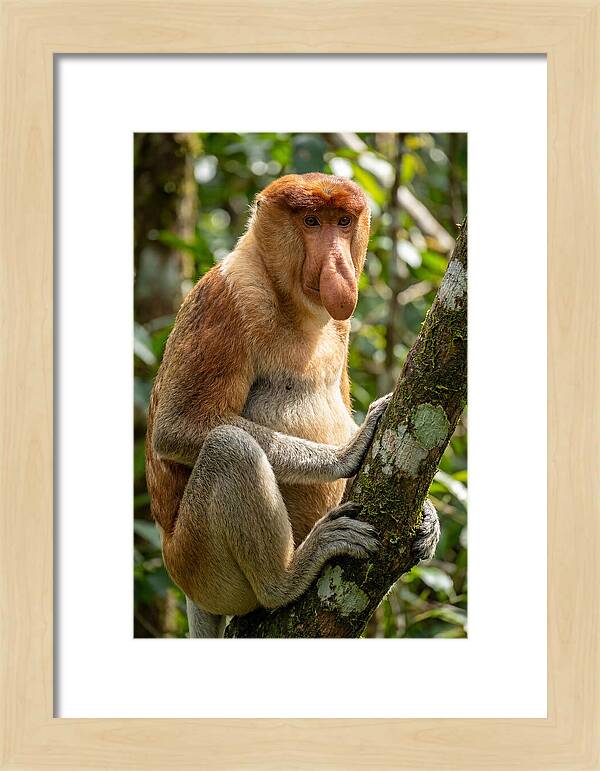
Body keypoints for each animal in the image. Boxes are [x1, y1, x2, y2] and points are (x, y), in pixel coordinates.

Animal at [145, 172, 439, 638]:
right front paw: (348, 451)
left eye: (342, 221)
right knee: (230, 448)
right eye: (311, 222)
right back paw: (287, 577)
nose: (338, 267)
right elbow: (177, 426)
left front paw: (429, 516)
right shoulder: (228, 299)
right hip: (198, 565)